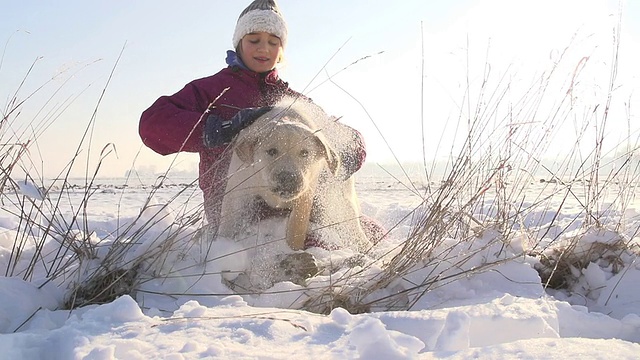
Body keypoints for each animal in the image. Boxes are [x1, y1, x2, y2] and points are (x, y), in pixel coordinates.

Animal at [219, 96, 370, 253]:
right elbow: (228, 224)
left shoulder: (305, 196)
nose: (288, 179)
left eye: (304, 153)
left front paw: (293, 250)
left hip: (340, 205)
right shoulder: (237, 190)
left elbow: (296, 229)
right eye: (272, 151)